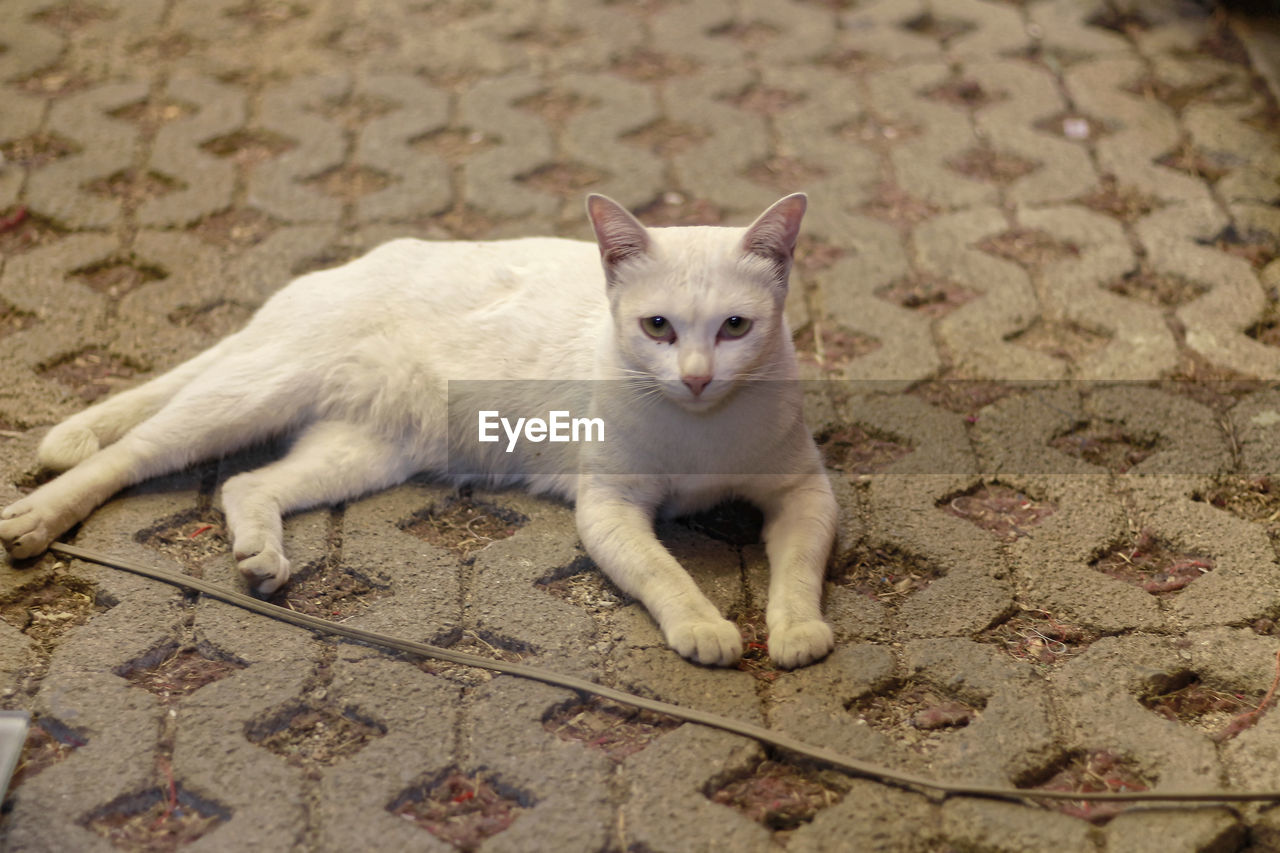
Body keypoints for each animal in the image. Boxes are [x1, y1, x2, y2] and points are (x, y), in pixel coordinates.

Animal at [0, 195, 839, 666]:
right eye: (657, 327)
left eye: (736, 327)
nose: (696, 376)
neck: (702, 430)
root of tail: (328, 274)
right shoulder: (609, 508)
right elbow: (666, 572)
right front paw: (703, 624)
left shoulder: (807, 491)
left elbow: (798, 566)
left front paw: (797, 628)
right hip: (250, 393)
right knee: (131, 453)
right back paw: (35, 518)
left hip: (364, 450)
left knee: (245, 482)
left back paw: (261, 556)